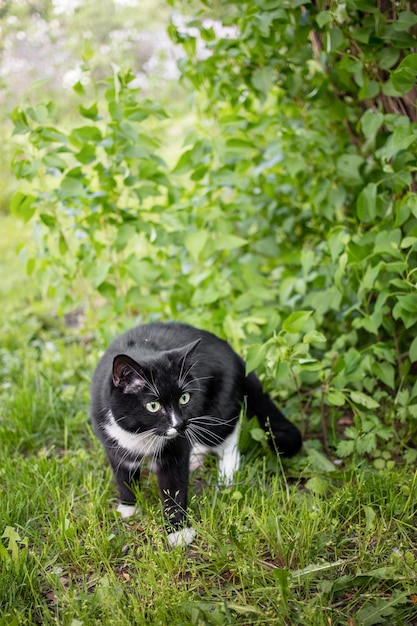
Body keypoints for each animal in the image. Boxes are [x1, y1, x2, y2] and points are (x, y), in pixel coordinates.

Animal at [90, 322, 300, 544]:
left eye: (184, 398)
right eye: (153, 406)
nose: (180, 424)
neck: (143, 434)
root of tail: (237, 356)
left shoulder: (175, 449)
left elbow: (174, 485)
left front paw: (179, 531)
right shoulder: (112, 440)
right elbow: (123, 474)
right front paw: (129, 508)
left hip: (216, 409)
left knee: (224, 436)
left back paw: (227, 475)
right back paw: (196, 457)